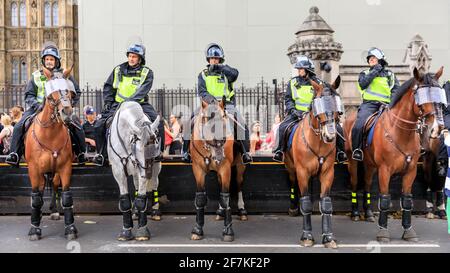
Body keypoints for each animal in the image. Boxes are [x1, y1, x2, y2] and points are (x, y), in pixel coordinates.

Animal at [24, 66, 77, 240]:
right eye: (51, 94)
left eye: (70, 92)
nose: (67, 112)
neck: (50, 135)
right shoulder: (34, 169)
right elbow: (36, 197)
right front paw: (34, 229)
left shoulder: (65, 167)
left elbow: (66, 196)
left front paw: (70, 228)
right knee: (40, 191)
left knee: (53, 184)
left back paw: (54, 211)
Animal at [106, 100, 161, 240]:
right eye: (139, 149)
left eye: (156, 145)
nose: (148, 173)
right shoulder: (118, 172)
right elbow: (125, 200)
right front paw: (126, 230)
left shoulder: (143, 171)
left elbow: (141, 200)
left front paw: (142, 230)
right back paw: (135, 212)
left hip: (156, 169)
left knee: (155, 183)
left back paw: (156, 210)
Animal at [190, 97, 246, 240]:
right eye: (207, 119)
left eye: (223, 117)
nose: (220, 140)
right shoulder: (198, 170)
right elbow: (200, 198)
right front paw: (197, 229)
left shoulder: (225, 168)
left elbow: (225, 198)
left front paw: (228, 231)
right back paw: (220, 212)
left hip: (239, 167)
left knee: (239, 185)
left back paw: (242, 210)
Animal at [284, 75, 342, 248]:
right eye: (319, 102)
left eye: (336, 102)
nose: (330, 136)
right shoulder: (302, 172)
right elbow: (306, 203)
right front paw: (307, 236)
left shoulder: (328, 173)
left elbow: (326, 204)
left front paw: (328, 237)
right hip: (291, 167)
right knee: (292, 181)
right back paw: (293, 208)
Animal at [344, 67, 446, 241]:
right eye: (421, 95)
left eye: (438, 93)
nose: (437, 128)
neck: (400, 132)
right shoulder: (385, 170)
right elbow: (385, 199)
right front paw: (383, 232)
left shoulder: (410, 170)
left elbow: (407, 201)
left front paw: (408, 231)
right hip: (353, 161)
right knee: (355, 183)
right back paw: (356, 213)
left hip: (370, 165)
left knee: (367, 184)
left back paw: (368, 213)